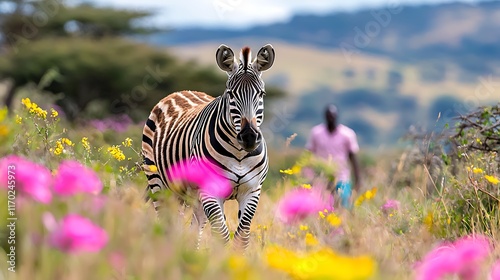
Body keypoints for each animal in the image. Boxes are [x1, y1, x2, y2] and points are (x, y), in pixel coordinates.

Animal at [142, 44, 278, 249]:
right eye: (230, 94)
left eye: (261, 94)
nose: (248, 137)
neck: (239, 154)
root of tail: (180, 91)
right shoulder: (211, 190)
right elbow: (221, 235)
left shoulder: (252, 191)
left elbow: (241, 238)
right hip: (159, 183)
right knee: (166, 225)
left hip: (192, 195)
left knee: (193, 228)